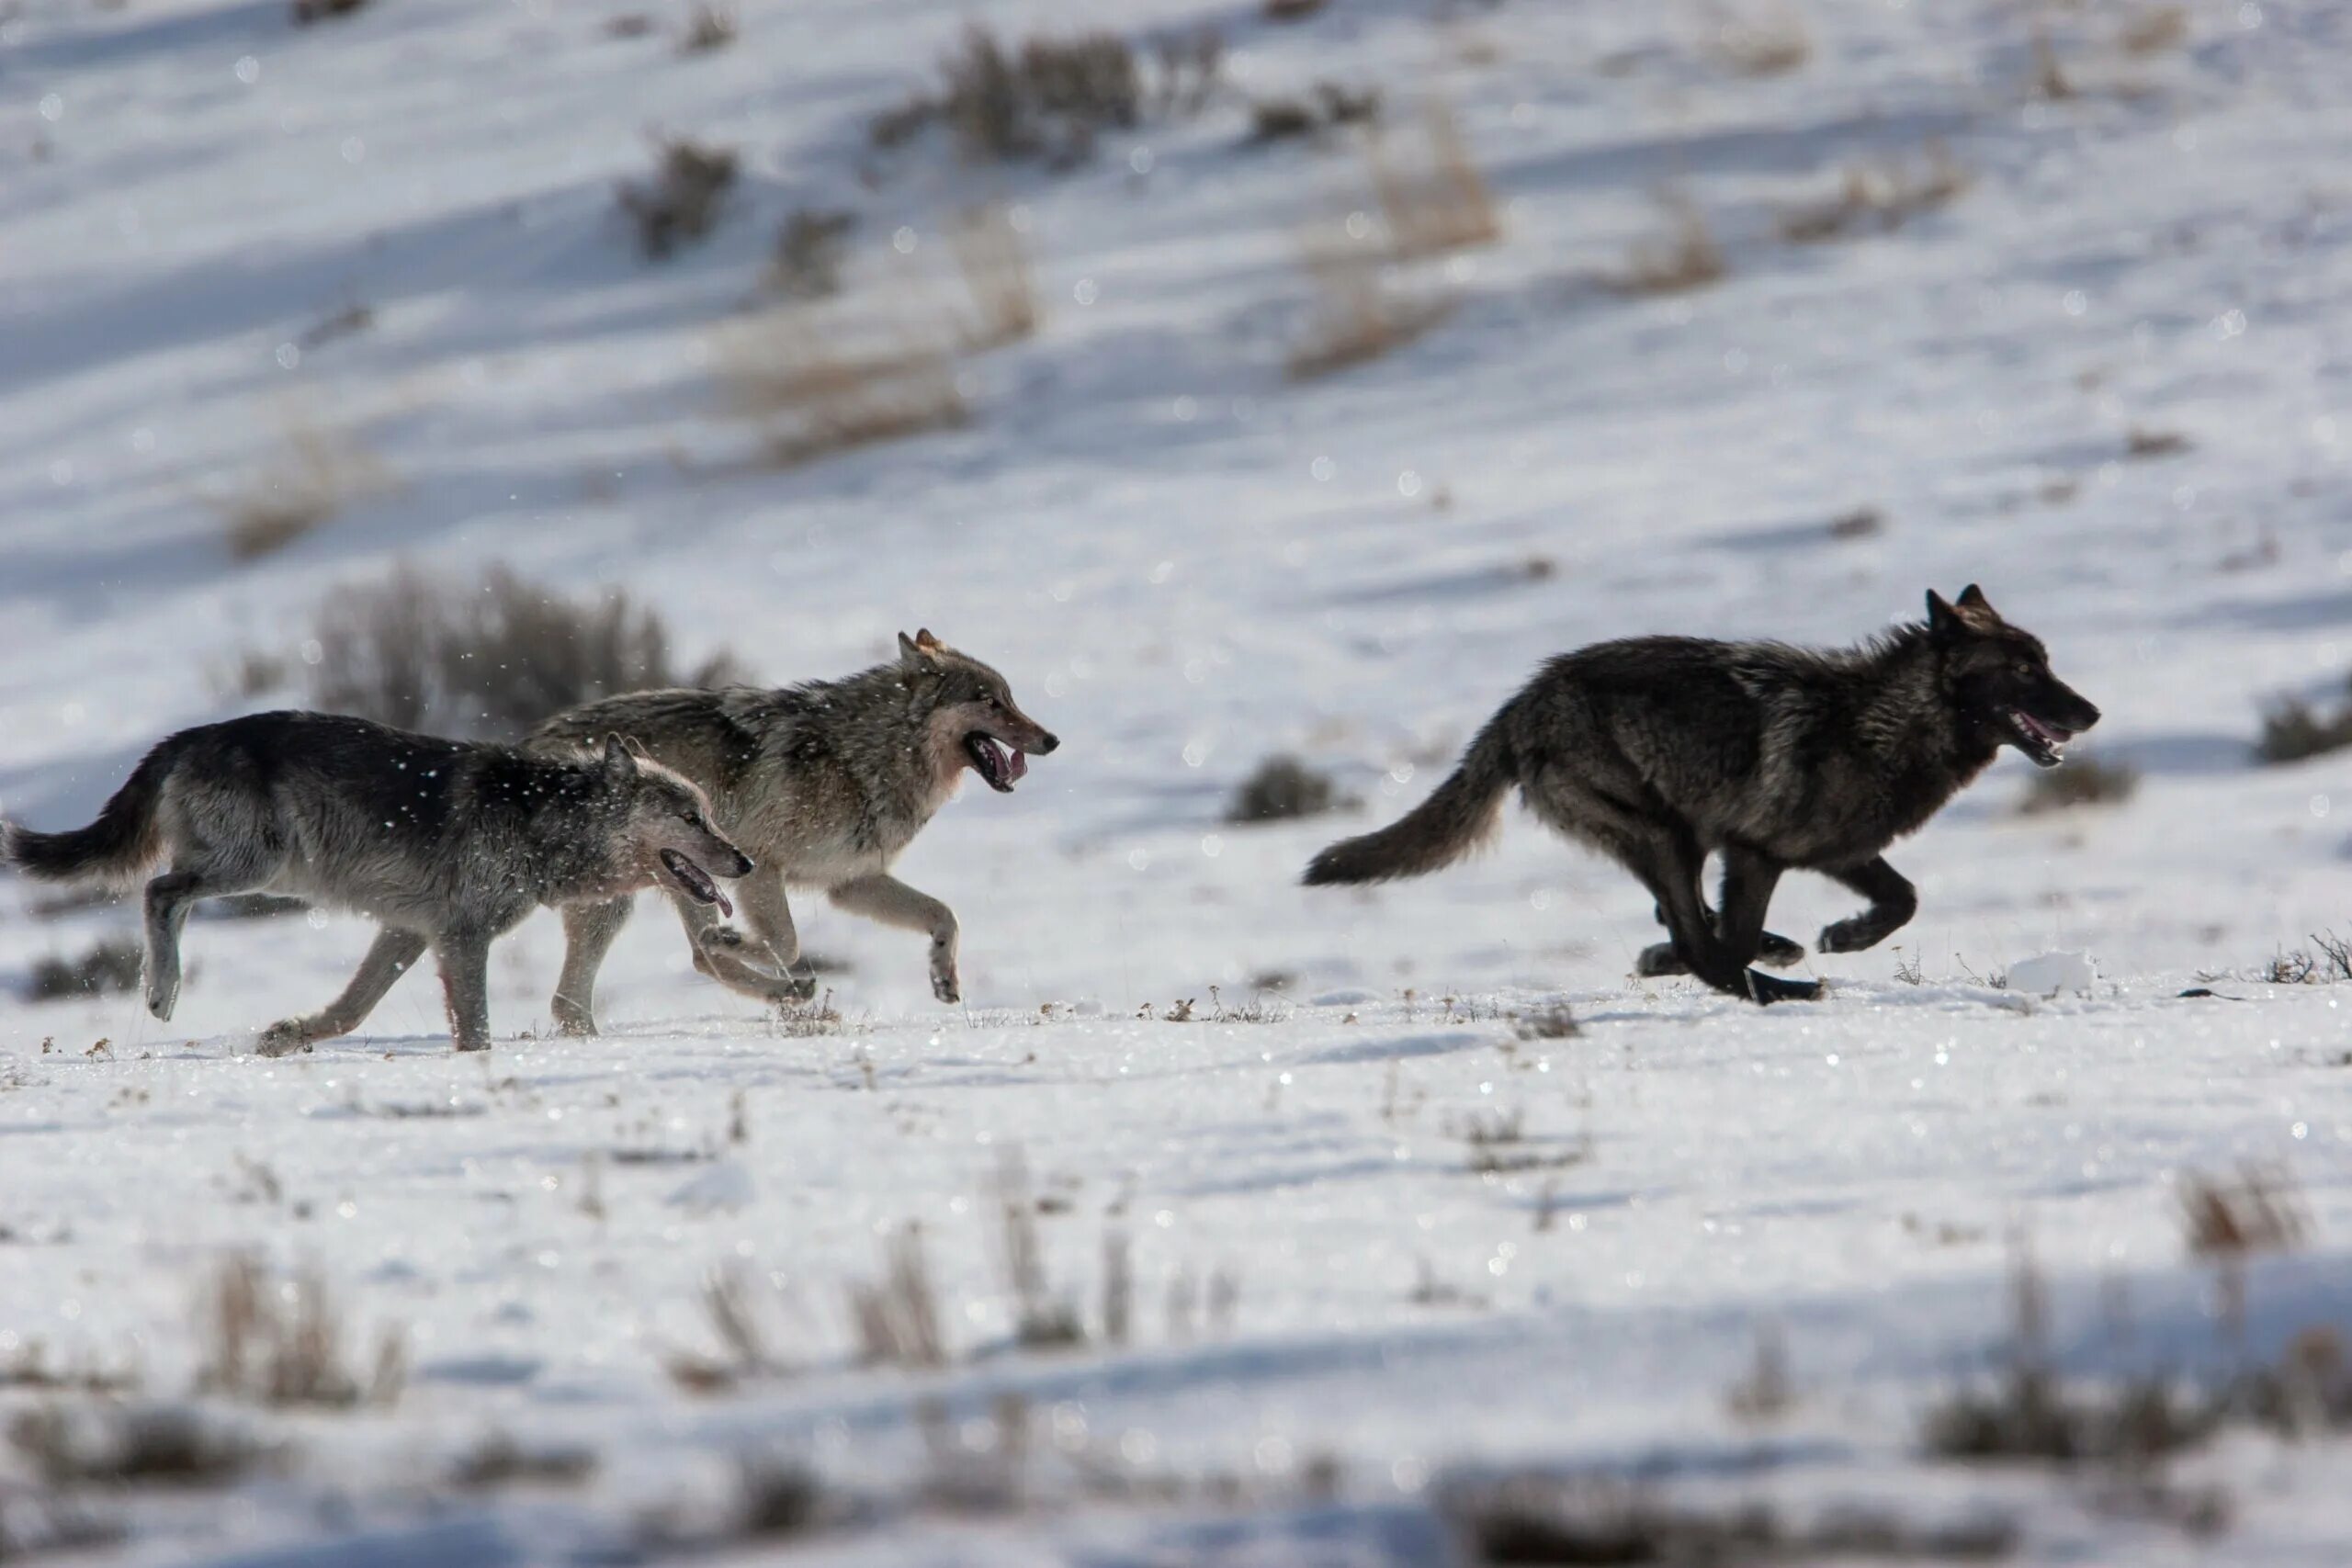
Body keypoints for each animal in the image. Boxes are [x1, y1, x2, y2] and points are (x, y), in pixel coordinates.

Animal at [0, 709, 748, 1053]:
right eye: (691, 817)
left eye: (710, 815)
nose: (744, 862)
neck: (542, 820)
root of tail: (183, 735)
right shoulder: (462, 938)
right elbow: (476, 1029)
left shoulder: (410, 932)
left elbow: (351, 1008)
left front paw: (287, 1036)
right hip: (254, 868)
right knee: (158, 893)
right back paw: (163, 992)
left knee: (166, 896)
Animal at [529, 625, 1063, 1029]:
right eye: (989, 702)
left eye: (1010, 698)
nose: (1052, 740)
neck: (863, 755)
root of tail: (531, 740)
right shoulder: (760, 866)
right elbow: (787, 943)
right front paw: (745, 946)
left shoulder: (851, 881)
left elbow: (945, 915)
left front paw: (943, 975)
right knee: (665, 967)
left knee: (589, 994)